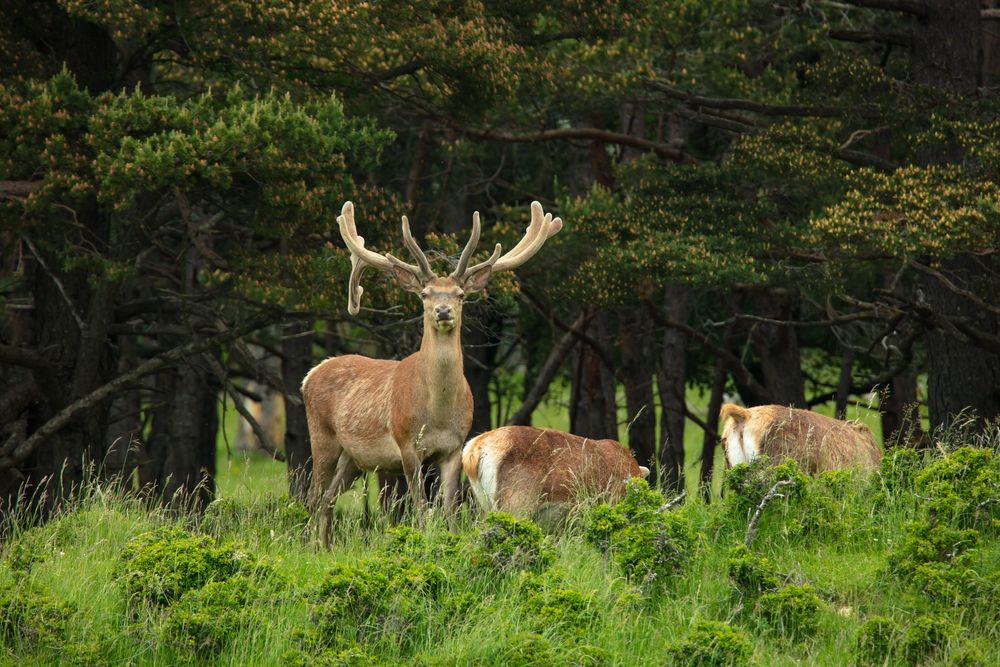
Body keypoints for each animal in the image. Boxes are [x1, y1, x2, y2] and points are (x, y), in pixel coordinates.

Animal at [303, 201, 561, 545]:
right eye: (425, 293)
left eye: (460, 294)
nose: (443, 311)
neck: (436, 414)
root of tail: (311, 373)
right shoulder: (406, 445)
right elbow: (422, 509)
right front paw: (425, 541)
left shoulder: (454, 447)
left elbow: (450, 508)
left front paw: (451, 541)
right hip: (322, 436)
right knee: (313, 496)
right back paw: (310, 546)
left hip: (353, 457)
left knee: (329, 498)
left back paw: (326, 547)